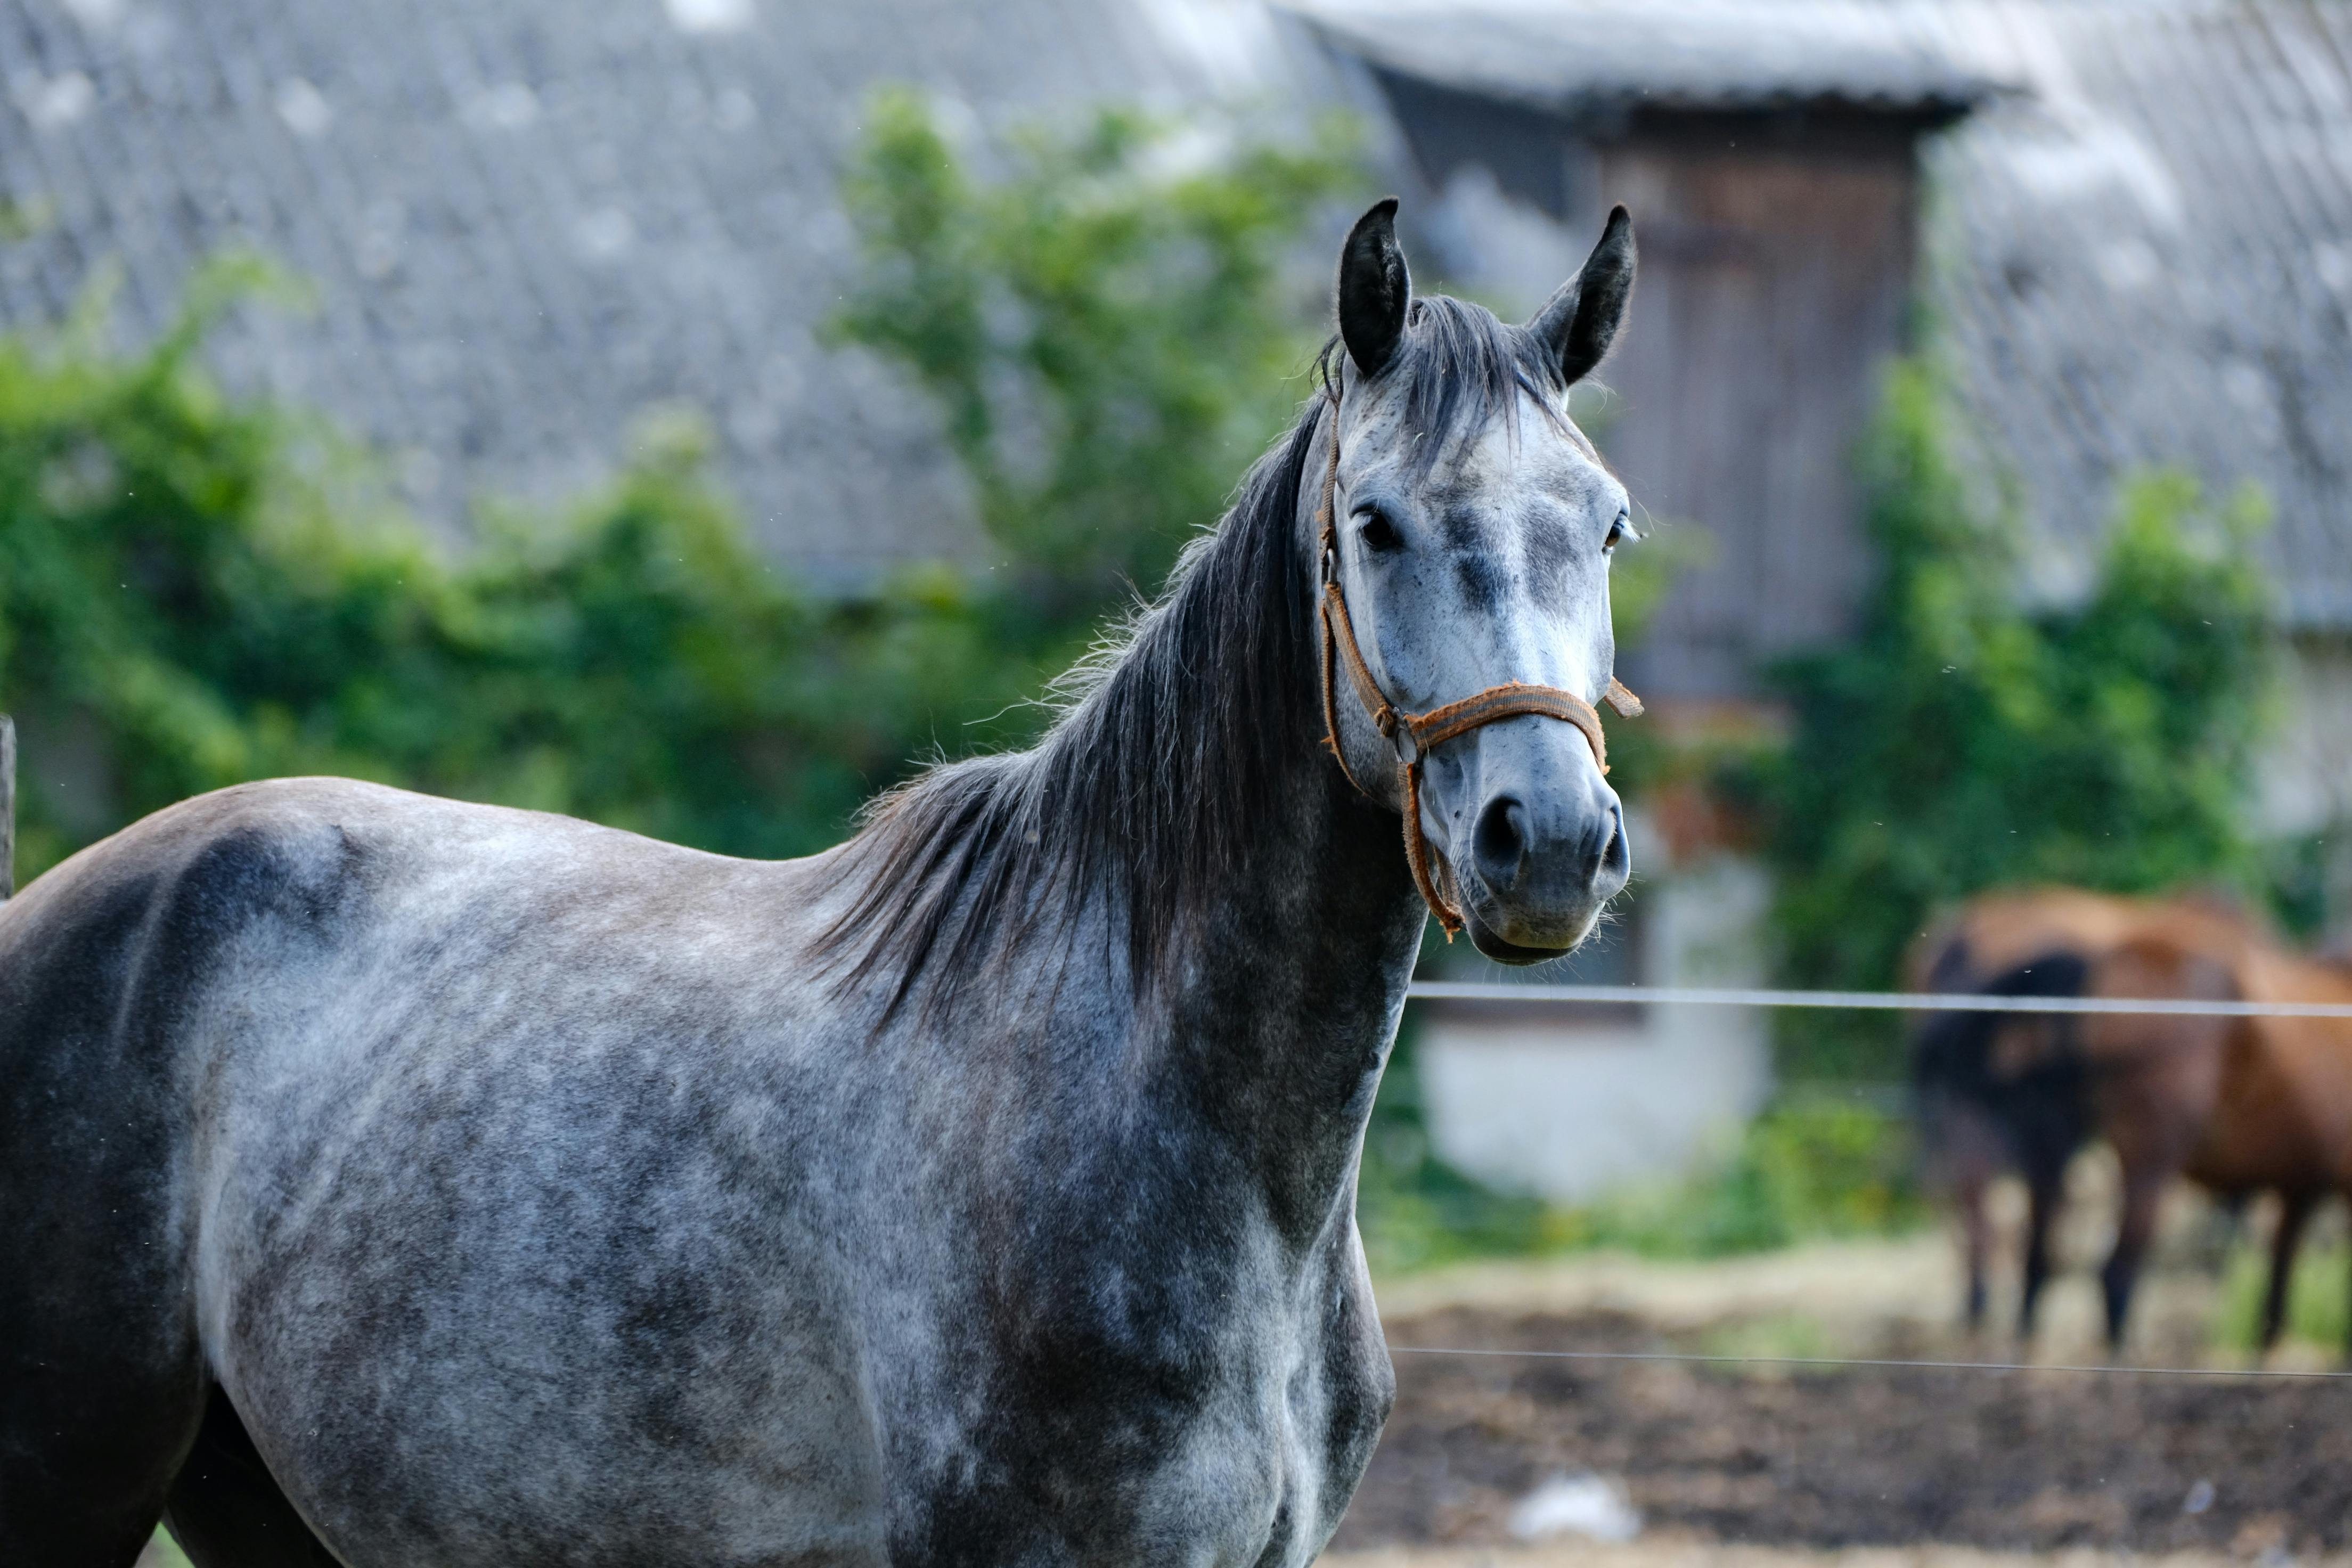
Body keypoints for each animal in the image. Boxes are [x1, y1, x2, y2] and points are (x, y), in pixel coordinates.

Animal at [1911, 889, 2352, 1354]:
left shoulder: (2301, 1184)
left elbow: (2276, 1295)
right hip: (2144, 1159)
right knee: (2113, 1273)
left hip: (2044, 1134)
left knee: (2029, 1247)